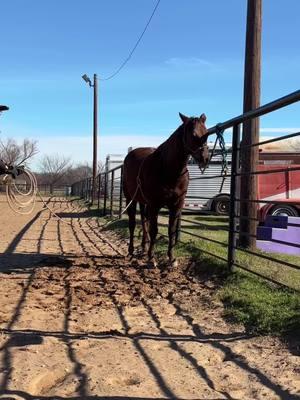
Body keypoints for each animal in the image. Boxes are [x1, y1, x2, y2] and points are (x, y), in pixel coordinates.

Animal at [122, 112, 209, 268]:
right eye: (193, 134)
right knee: (132, 224)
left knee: (143, 221)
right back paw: (131, 250)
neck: (168, 169)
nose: (205, 158)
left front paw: (171, 258)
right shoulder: (154, 204)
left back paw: (144, 247)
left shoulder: (176, 205)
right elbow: (154, 230)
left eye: (207, 133)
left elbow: (171, 231)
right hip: (130, 198)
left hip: (143, 202)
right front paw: (152, 258)